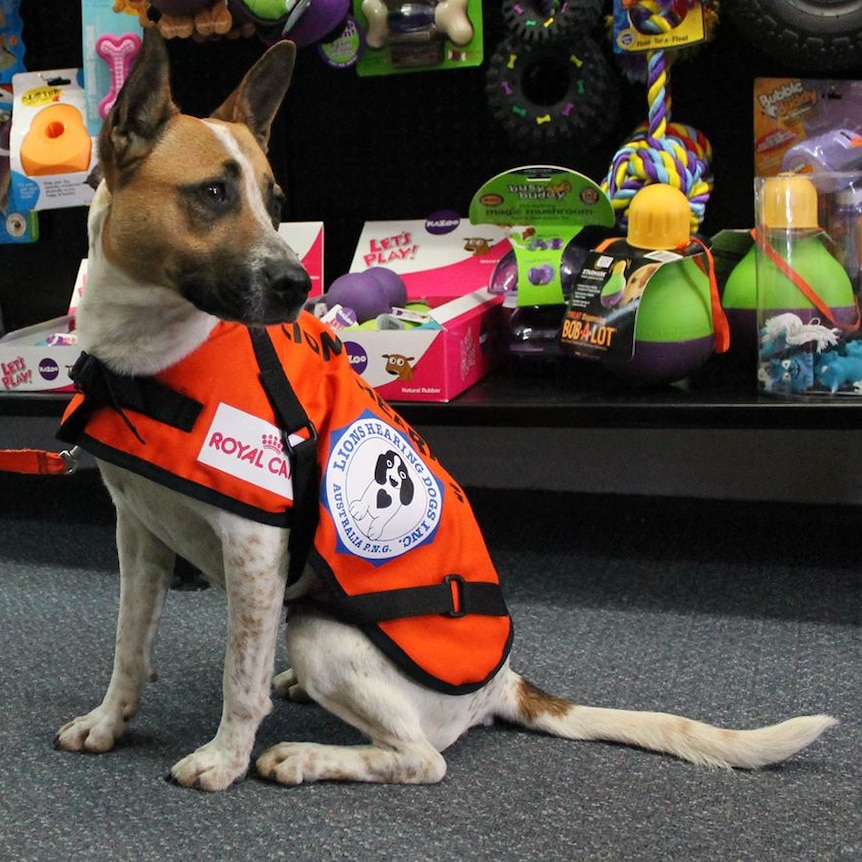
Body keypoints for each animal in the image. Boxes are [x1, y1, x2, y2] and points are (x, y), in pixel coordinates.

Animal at [52, 30, 836, 792]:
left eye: (275, 204)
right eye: (213, 193)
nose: (298, 283)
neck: (150, 354)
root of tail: (503, 685)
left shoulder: (252, 549)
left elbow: (237, 678)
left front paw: (224, 758)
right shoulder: (138, 534)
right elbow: (129, 646)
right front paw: (109, 721)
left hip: (319, 630)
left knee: (420, 757)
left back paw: (305, 755)